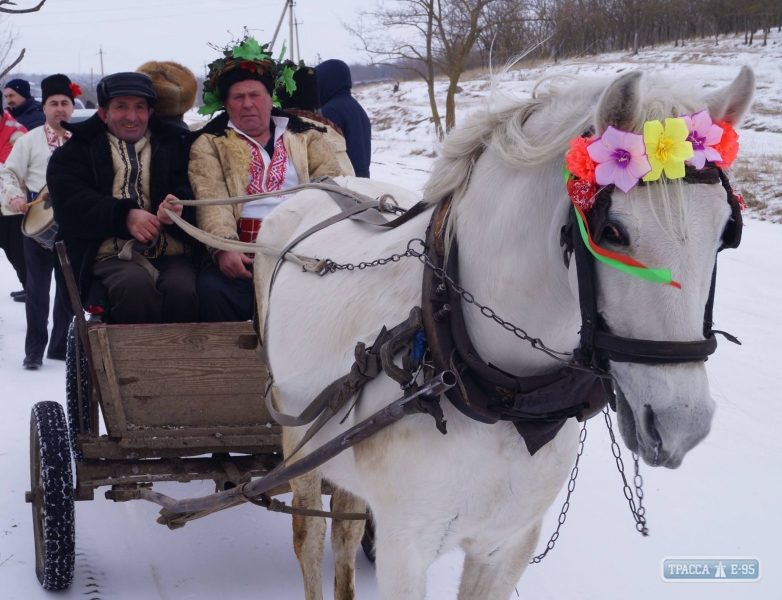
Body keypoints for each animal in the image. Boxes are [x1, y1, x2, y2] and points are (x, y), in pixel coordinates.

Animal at [254, 68, 756, 596]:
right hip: (297, 437)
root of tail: (320, 186)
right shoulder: (404, 550)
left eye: (726, 233)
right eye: (612, 232)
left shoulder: (509, 542)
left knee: (346, 532)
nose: (683, 425)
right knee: (310, 539)